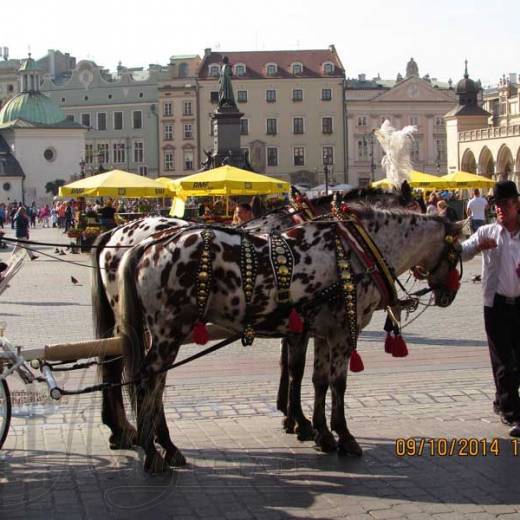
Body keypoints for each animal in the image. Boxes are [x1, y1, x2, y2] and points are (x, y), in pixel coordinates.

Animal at [116, 205, 462, 474]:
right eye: (458, 250)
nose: (449, 295)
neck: (358, 250)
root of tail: (147, 246)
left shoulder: (323, 332)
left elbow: (318, 380)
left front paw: (321, 432)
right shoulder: (342, 333)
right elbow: (338, 384)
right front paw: (343, 435)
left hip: (163, 335)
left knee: (157, 386)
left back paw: (167, 447)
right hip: (168, 333)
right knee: (148, 383)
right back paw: (153, 452)